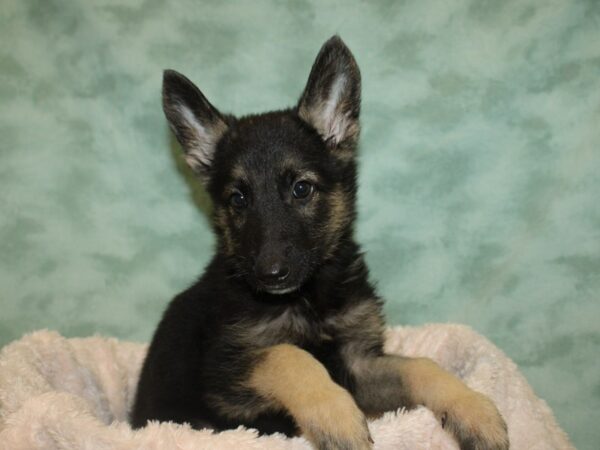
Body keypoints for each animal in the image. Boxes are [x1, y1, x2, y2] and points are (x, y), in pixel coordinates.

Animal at [130, 36, 506, 450]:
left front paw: (474, 409)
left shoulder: (359, 364)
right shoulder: (227, 378)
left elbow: (422, 367)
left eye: (301, 189)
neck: (308, 298)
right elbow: (288, 356)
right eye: (238, 199)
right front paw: (336, 418)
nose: (271, 274)